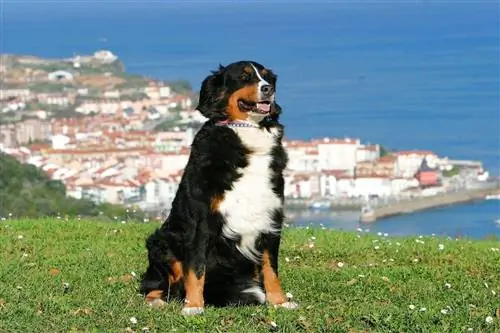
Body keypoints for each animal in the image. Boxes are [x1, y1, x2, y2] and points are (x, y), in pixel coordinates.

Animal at [139, 61, 296, 314]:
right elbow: (196, 268)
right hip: (163, 241)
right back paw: (157, 300)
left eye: (267, 77)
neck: (246, 131)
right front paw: (194, 306)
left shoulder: (271, 218)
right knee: (158, 283)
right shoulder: (201, 220)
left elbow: (271, 268)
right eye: (244, 77)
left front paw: (279, 301)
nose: (268, 88)